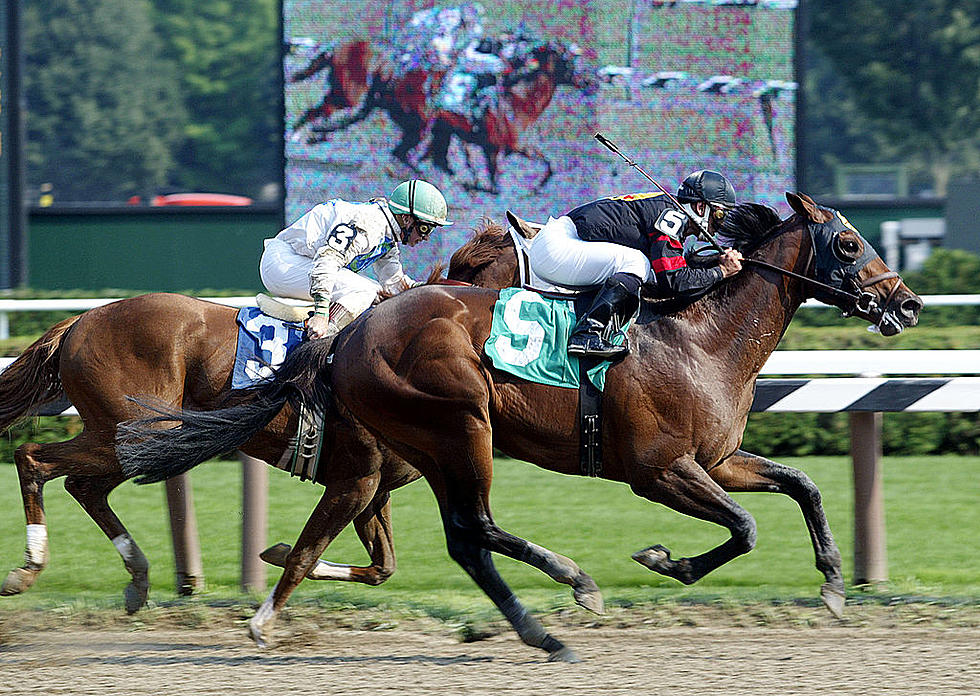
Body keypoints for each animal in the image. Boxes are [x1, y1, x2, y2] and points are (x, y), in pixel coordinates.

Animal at [0, 226, 520, 612]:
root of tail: (80, 321)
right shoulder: (358, 478)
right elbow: (323, 554)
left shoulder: (374, 485)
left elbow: (381, 566)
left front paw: (278, 554)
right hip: (134, 431)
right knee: (33, 459)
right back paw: (27, 568)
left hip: (137, 440)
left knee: (83, 486)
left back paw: (138, 578)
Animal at [118, 193, 924, 660]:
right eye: (849, 244)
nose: (907, 303)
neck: (700, 338)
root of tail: (347, 337)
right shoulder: (659, 469)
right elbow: (746, 528)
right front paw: (666, 560)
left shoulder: (716, 458)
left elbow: (802, 485)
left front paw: (833, 587)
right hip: (460, 426)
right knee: (472, 531)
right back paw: (553, 621)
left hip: (430, 444)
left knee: (465, 536)